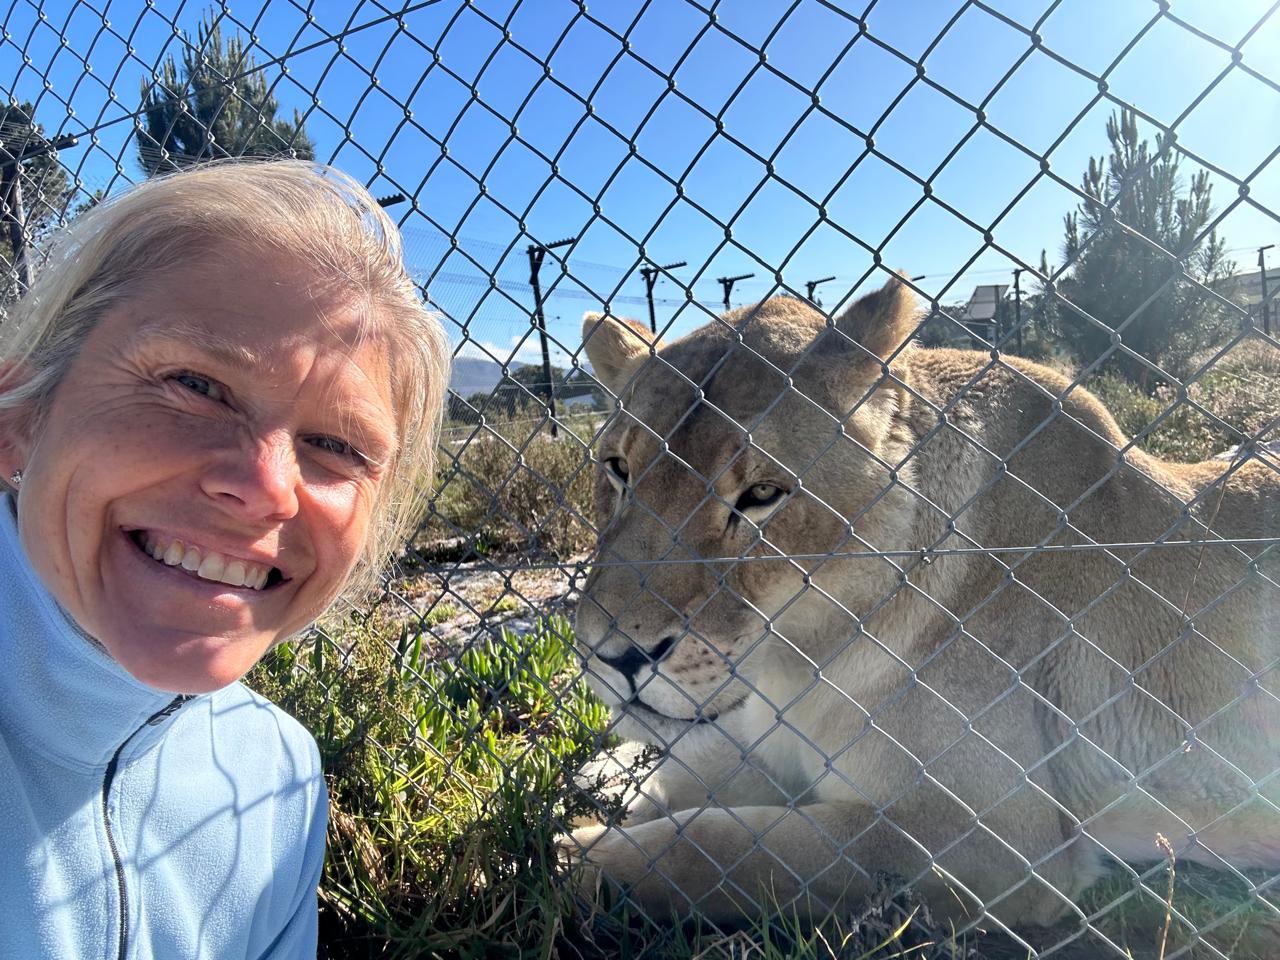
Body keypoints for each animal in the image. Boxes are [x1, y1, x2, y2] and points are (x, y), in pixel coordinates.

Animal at [567, 275, 1279, 932]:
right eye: (617, 469)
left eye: (763, 494)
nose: (613, 657)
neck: (803, 659)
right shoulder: (777, 739)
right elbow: (700, 759)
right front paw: (608, 774)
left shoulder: (990, 845)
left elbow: (722, 848)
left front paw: (573, 858)